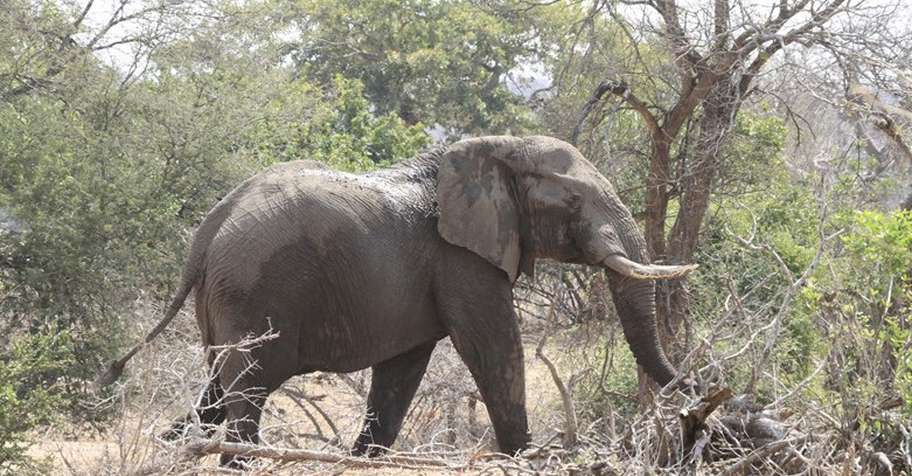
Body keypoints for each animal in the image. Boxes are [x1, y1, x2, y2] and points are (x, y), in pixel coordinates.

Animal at [98, 135, 696, 466]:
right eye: (573, 201)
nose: (698, 392)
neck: (496, 147)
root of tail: (208, 230)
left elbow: (403, 368)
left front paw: (363, 460)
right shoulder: (462, 259)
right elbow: (494, 348)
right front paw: (528, 459)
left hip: (225, 297)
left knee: (218, 389)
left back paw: (170, 447)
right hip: (252, 289)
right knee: (246, 393)